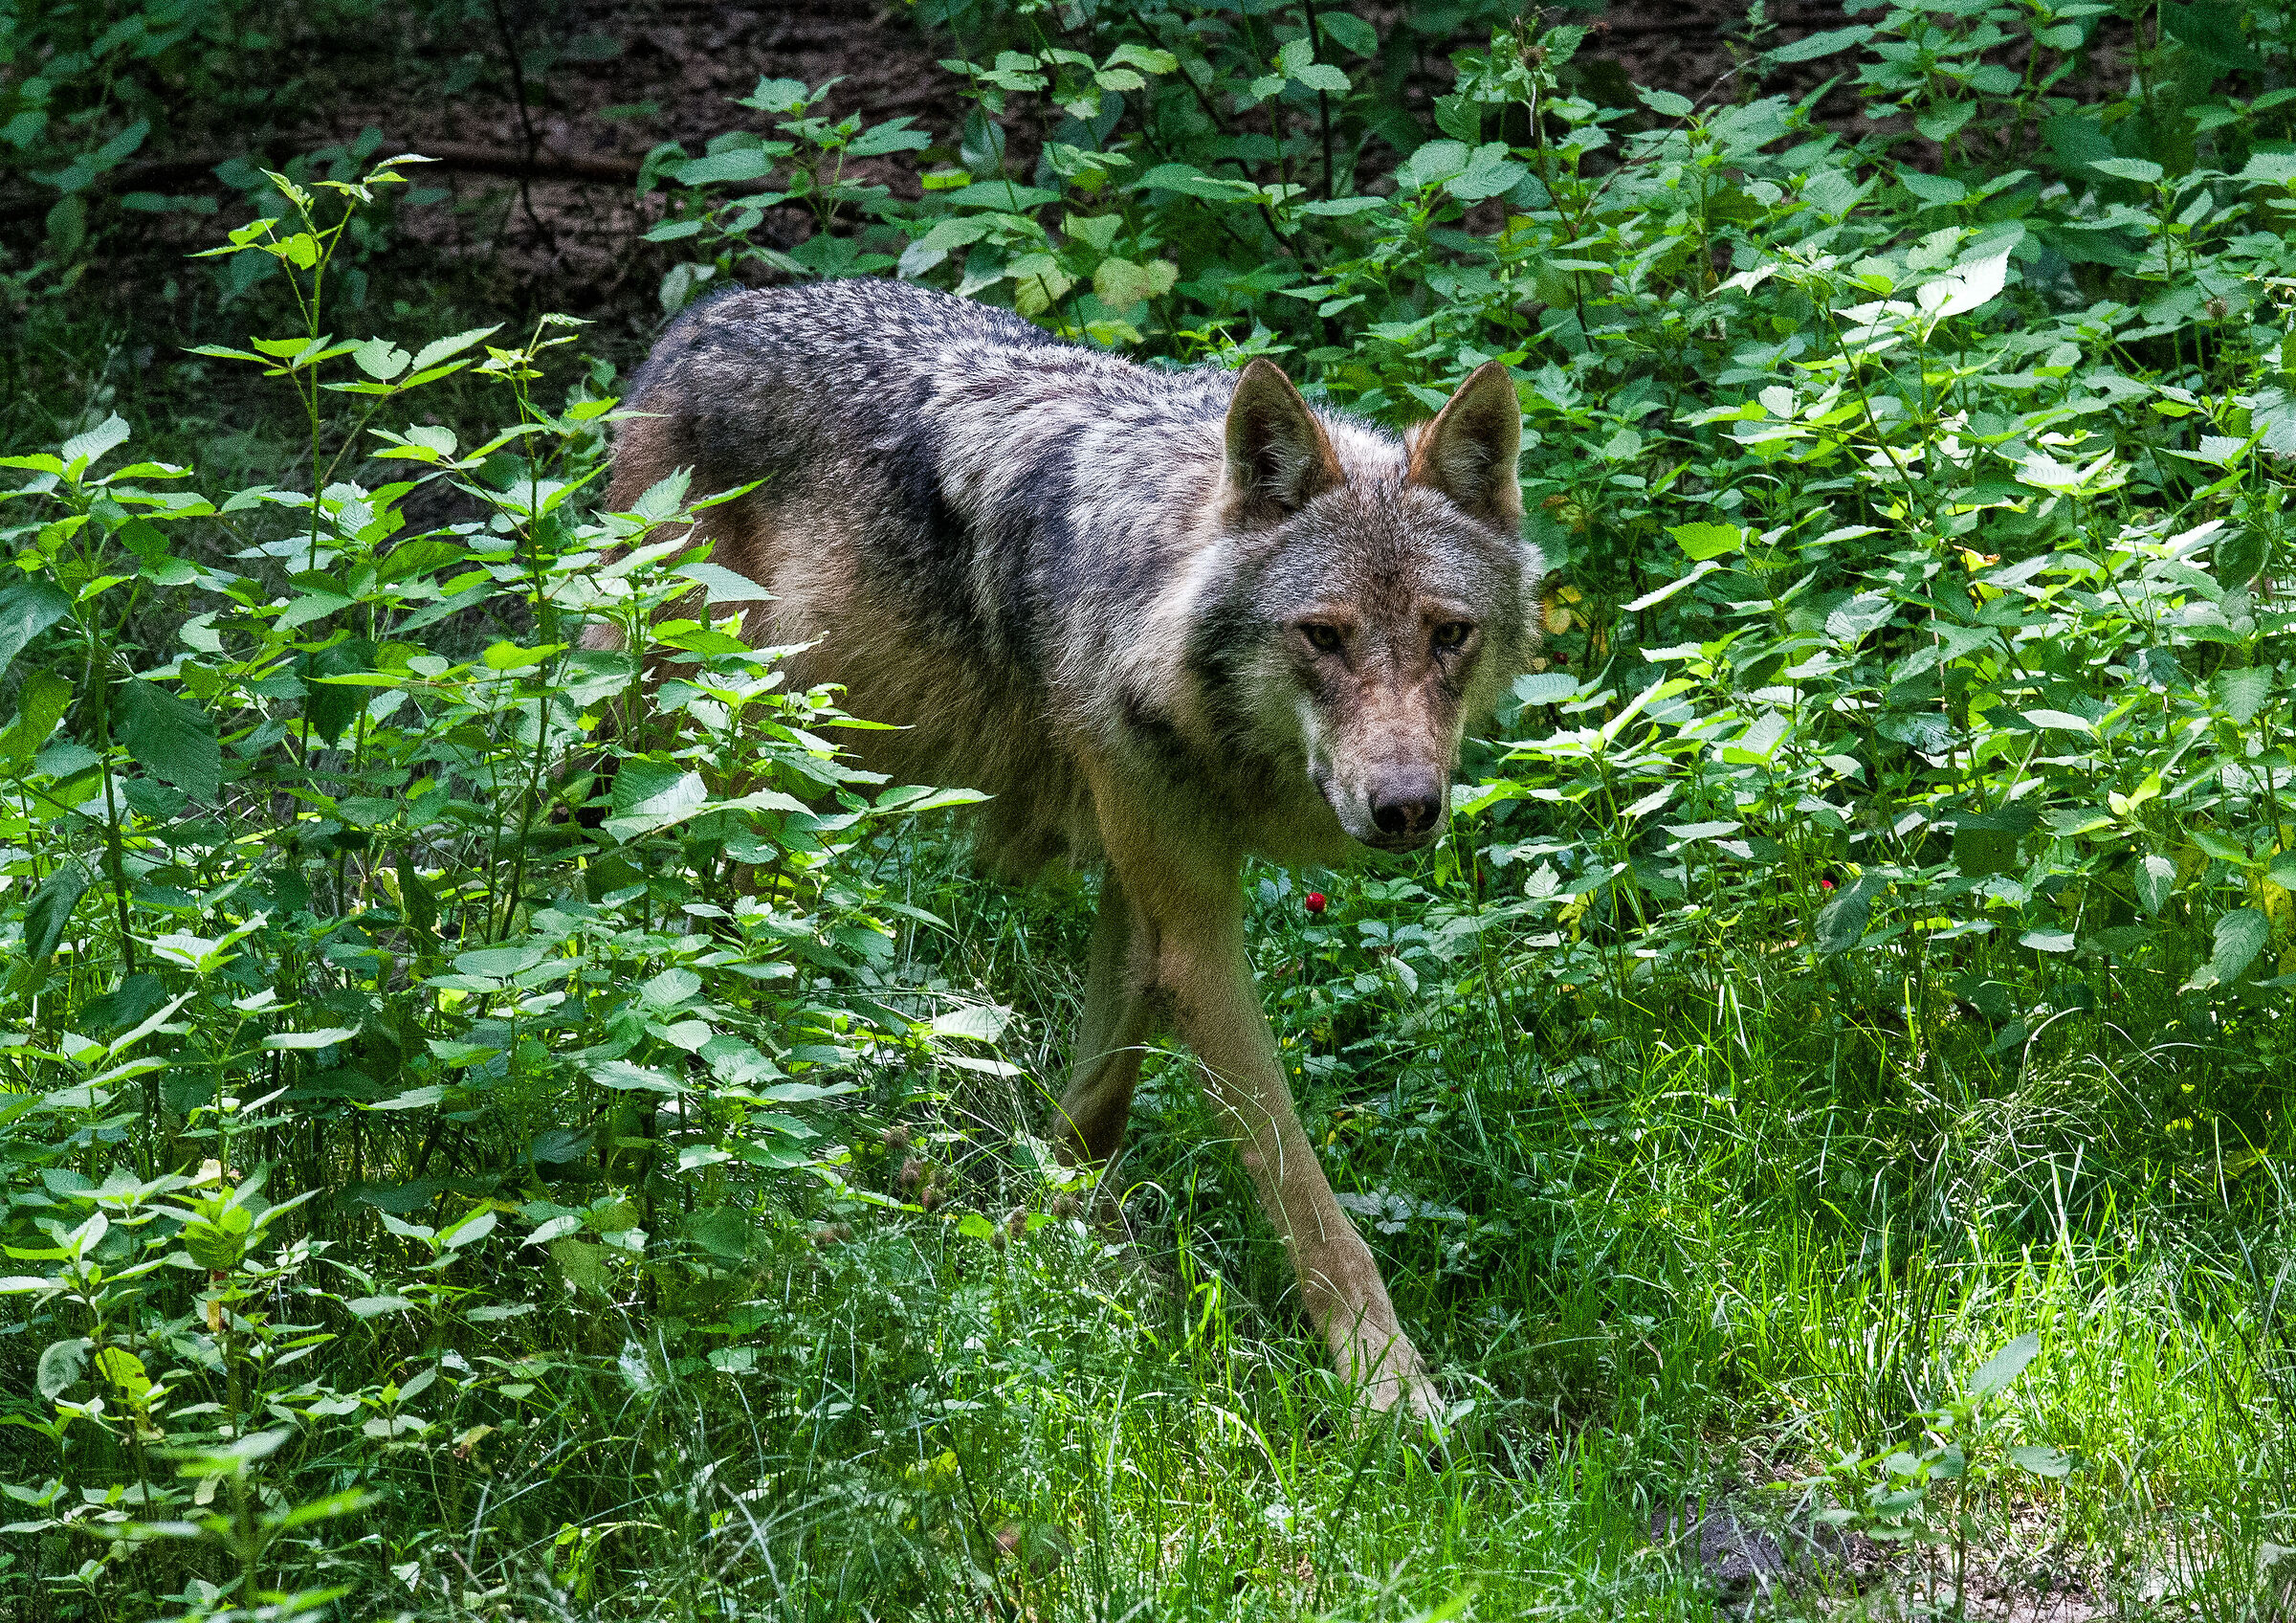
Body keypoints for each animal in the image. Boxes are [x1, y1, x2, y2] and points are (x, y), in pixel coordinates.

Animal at [593, 279, 1540, 1417]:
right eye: (1323, 635)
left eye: (1450, 635)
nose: (1406, 808)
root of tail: (691, 325)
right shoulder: (1194, 935)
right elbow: (1304, 1191)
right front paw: (1388, 1387)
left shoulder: (1152, 891)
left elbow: (1098, 1101)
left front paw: (1050, 1249)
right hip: (738, 776)